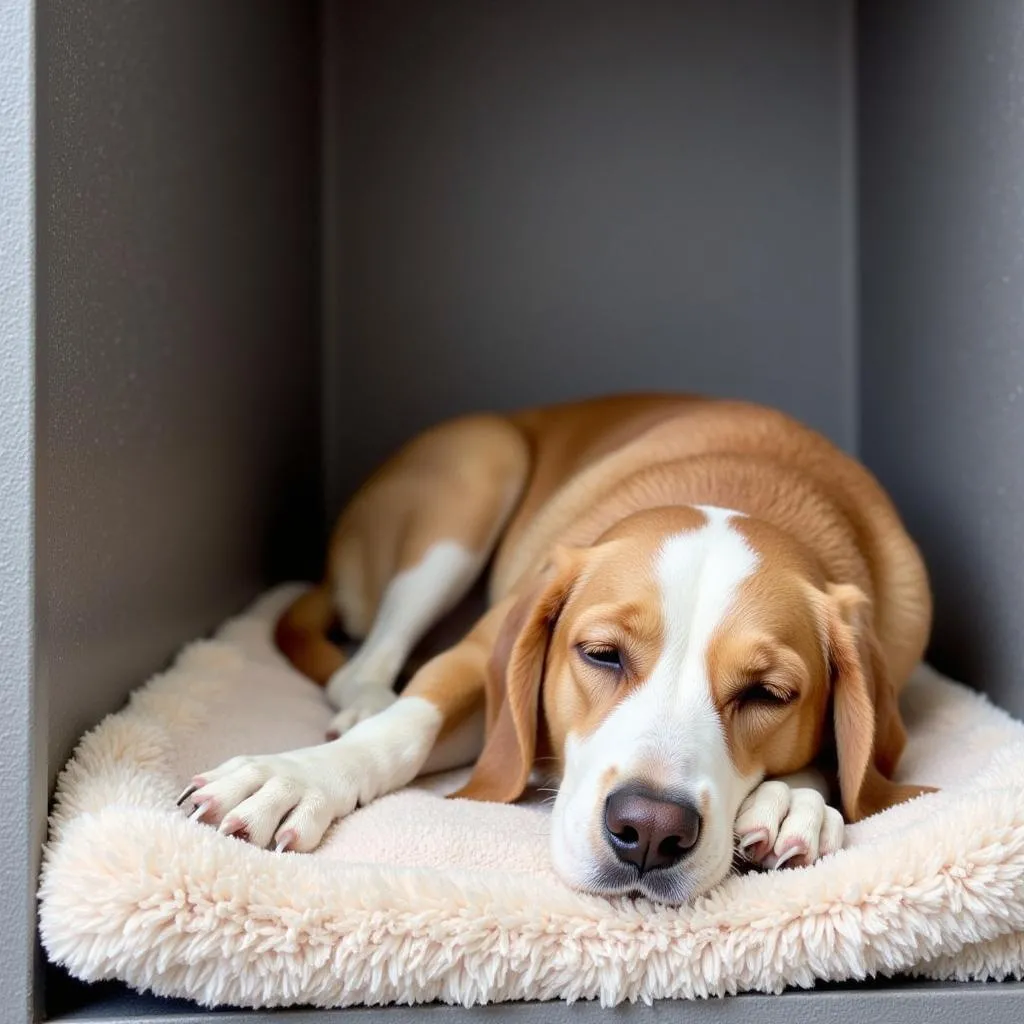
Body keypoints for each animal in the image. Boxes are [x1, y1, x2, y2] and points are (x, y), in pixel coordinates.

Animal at [178, 395, 937, 901]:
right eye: (601, 654)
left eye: (769, 694)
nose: (650, 830)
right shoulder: (478, 660)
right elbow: (405, 727)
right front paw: (292, 778)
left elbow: (848, 767)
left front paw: (790, 800)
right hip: (480, 470)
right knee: (367, 666)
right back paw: (362, 701)